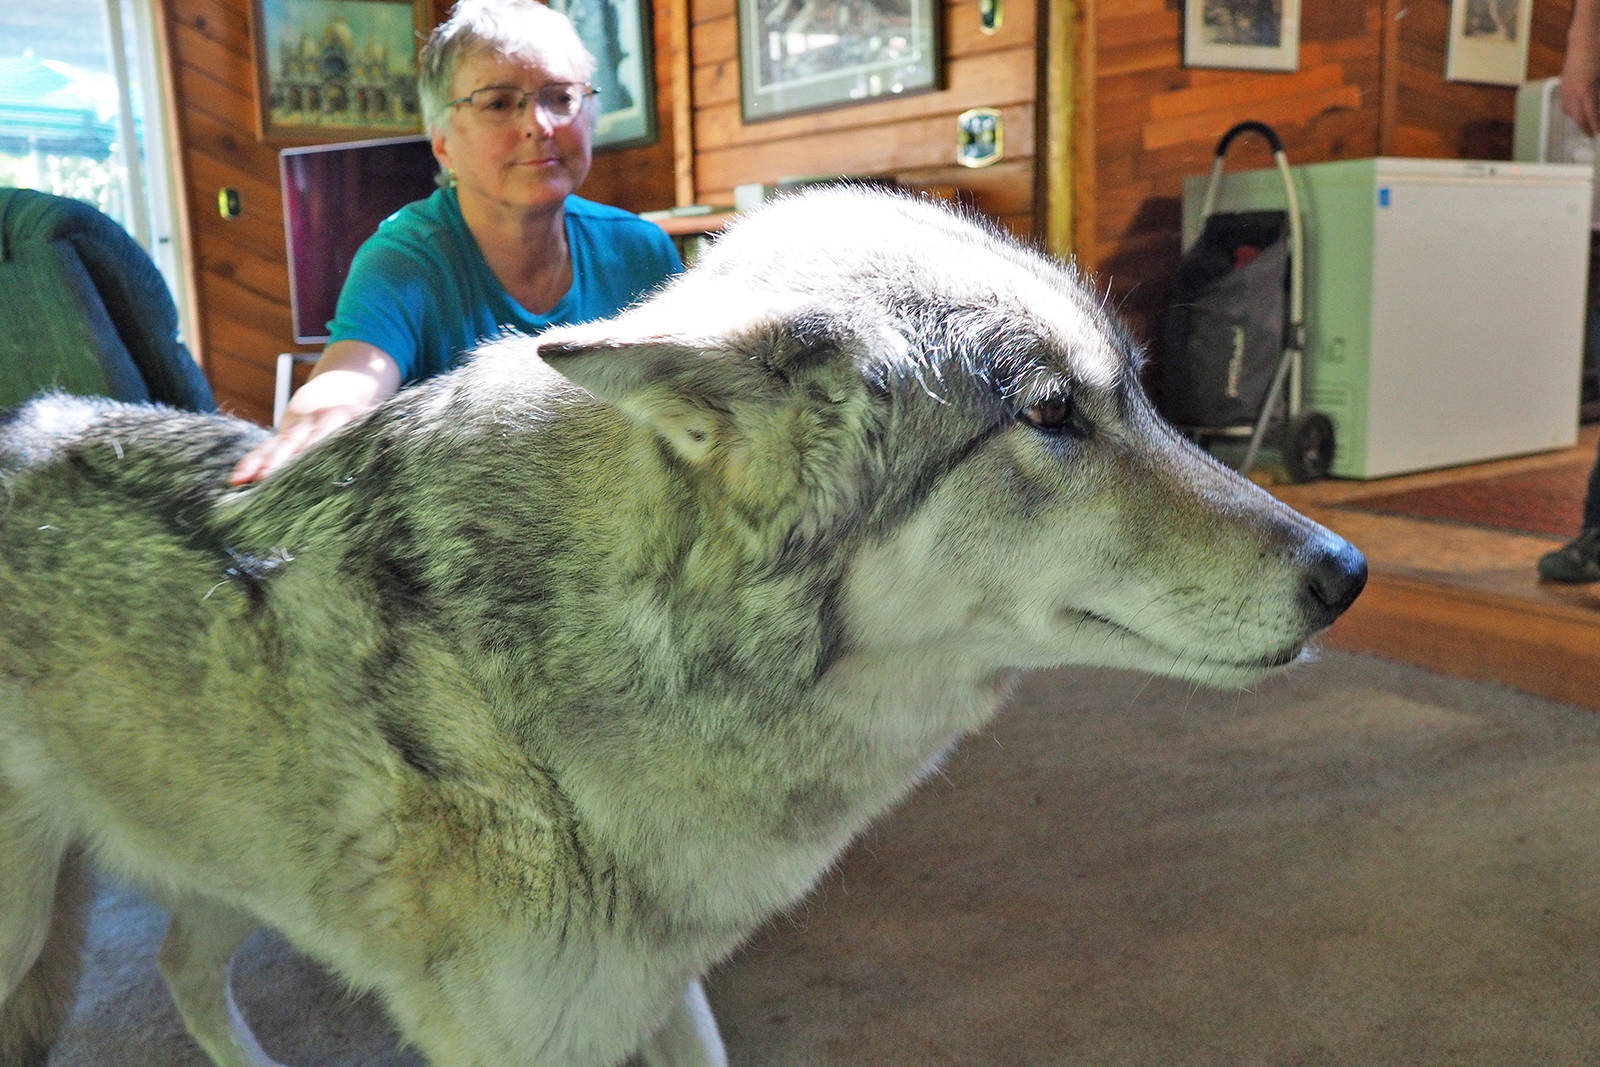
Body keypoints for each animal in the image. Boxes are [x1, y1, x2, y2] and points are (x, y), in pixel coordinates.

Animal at [0, 187, 1369, 1062]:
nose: (1348, 570)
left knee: (183, 972)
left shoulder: (655, 994)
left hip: (224, 866)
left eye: (1134, 394)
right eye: (1046, 413)